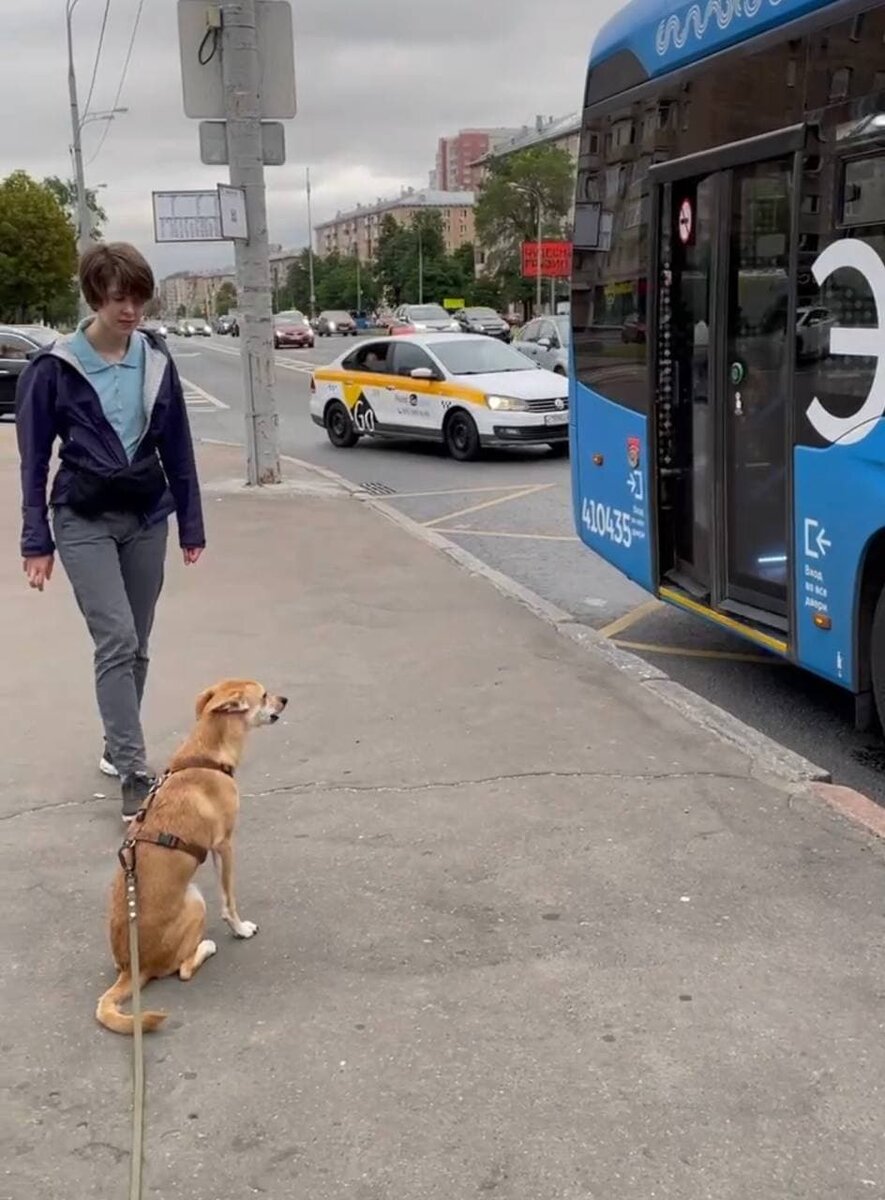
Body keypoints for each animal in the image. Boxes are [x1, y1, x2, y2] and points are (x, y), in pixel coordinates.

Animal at [97, 681, 287, 1036]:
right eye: (264, 694)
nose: (284, 699)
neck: (204, 757)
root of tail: (134, 967)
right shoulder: (224, 846)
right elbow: (229, 900)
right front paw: (240, 929)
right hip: (195, 899)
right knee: (183, 970)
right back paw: (206, 947)